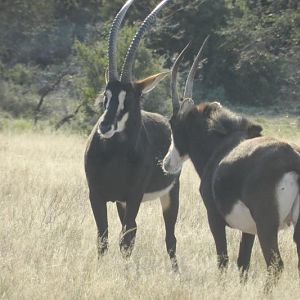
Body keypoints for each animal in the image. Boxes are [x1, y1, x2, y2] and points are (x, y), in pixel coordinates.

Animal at [83, 0, 180, 270]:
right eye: (106, 96)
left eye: (130, 98)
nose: (105, 126)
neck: (114, 156)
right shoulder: (97, 195)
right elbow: (103, 237)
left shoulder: (134, 195)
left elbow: (125, 240)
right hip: (121, 202)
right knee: (133, 230)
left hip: (170, 195)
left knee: (169, 236)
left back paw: (175, 272)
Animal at [163, 39, 300, 284]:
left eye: (174, 124)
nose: (167, 163)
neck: (220, 145)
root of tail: (292, 157)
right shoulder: (249, 229)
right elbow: (243, 264)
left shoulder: (214, 217)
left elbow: (223, 260)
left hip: (266, 224)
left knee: (275, 265)